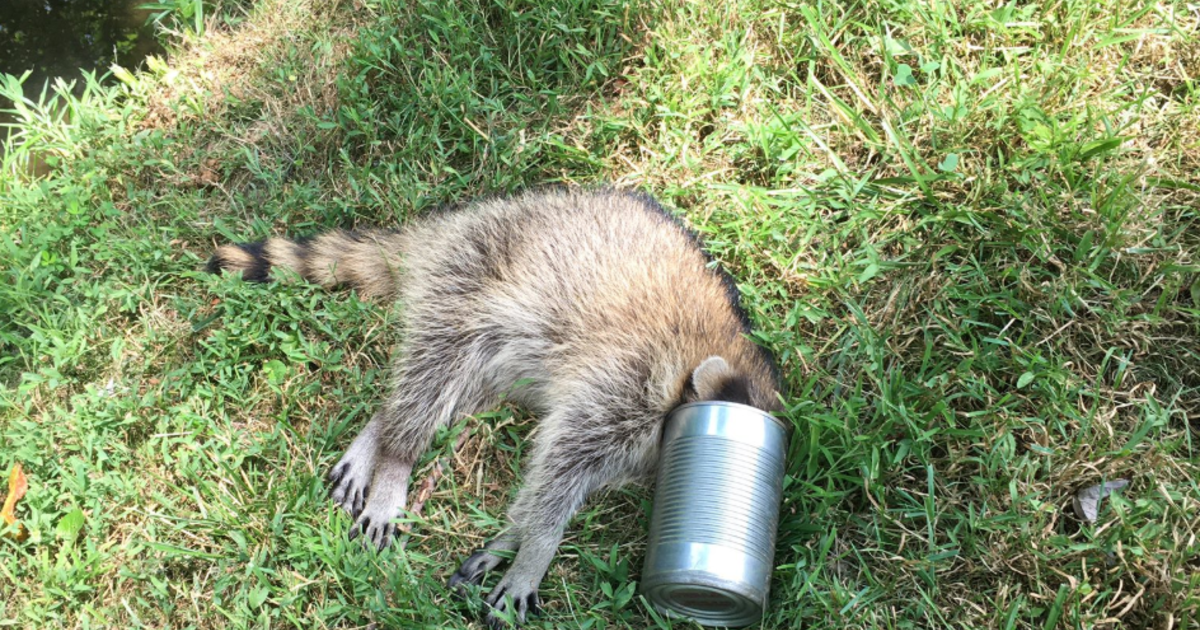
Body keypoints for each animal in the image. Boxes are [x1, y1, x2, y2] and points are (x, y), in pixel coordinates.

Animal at [211, 187, 782, 624]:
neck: (717, 358)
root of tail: (453, 222)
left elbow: (555, 481)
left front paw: (512, 535)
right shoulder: (626, 381)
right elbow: (559, 465)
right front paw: (536, 550)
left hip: (508, 352)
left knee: (453, 391)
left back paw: (382, 427)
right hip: (468, 278)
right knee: (431, 370)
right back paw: (396, 456)